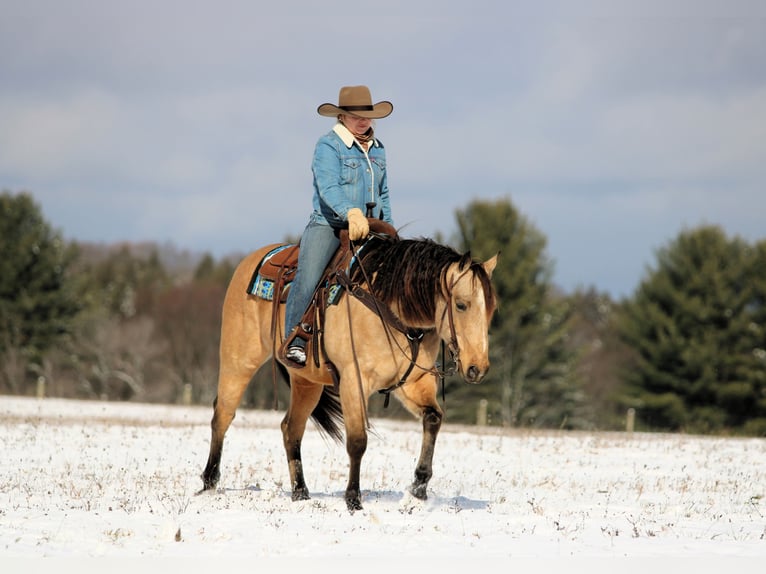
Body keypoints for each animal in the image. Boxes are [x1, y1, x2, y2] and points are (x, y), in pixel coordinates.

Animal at [199, 222, 498, 512]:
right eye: (461, 305)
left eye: (492, 309)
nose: (478, 368)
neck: (391, 309)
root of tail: (251, 260)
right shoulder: (354, 381)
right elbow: (357, 441)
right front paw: (353, 499)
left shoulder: (413, 383)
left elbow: (433, 418)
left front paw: (418, 489)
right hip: (239, 361)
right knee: (223, 415)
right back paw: (209, 483)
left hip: (307, 382)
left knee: (291, 428)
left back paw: (300, 493)